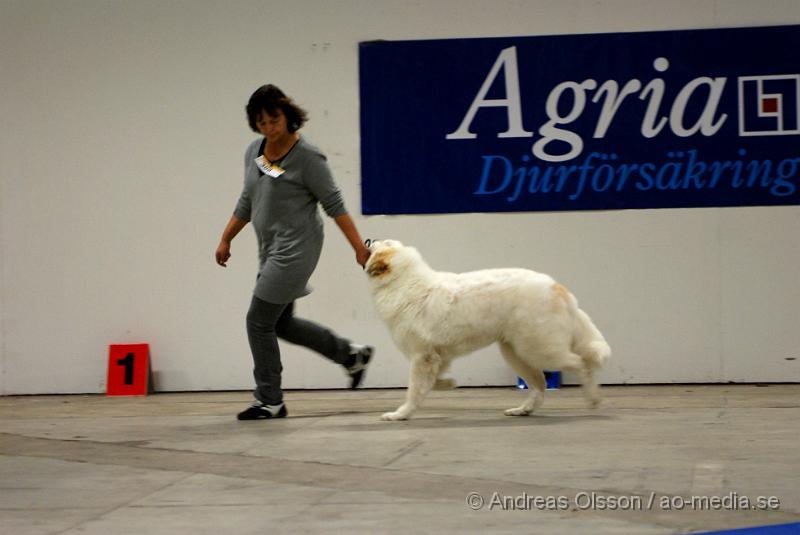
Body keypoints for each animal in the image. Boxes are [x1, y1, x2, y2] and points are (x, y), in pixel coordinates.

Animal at [366, 241, 608, 420]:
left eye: (384, 242)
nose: (369, 240)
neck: (404, 282)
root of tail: (558, 288)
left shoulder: (422, 357)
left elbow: (414, 390)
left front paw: (401, 414)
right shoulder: (436, 357)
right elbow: (432, 382)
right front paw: (449, 384)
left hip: (540, 350)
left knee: (580, 364)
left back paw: (593, 399)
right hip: (516, 353)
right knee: (540, 385)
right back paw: (523, 410)